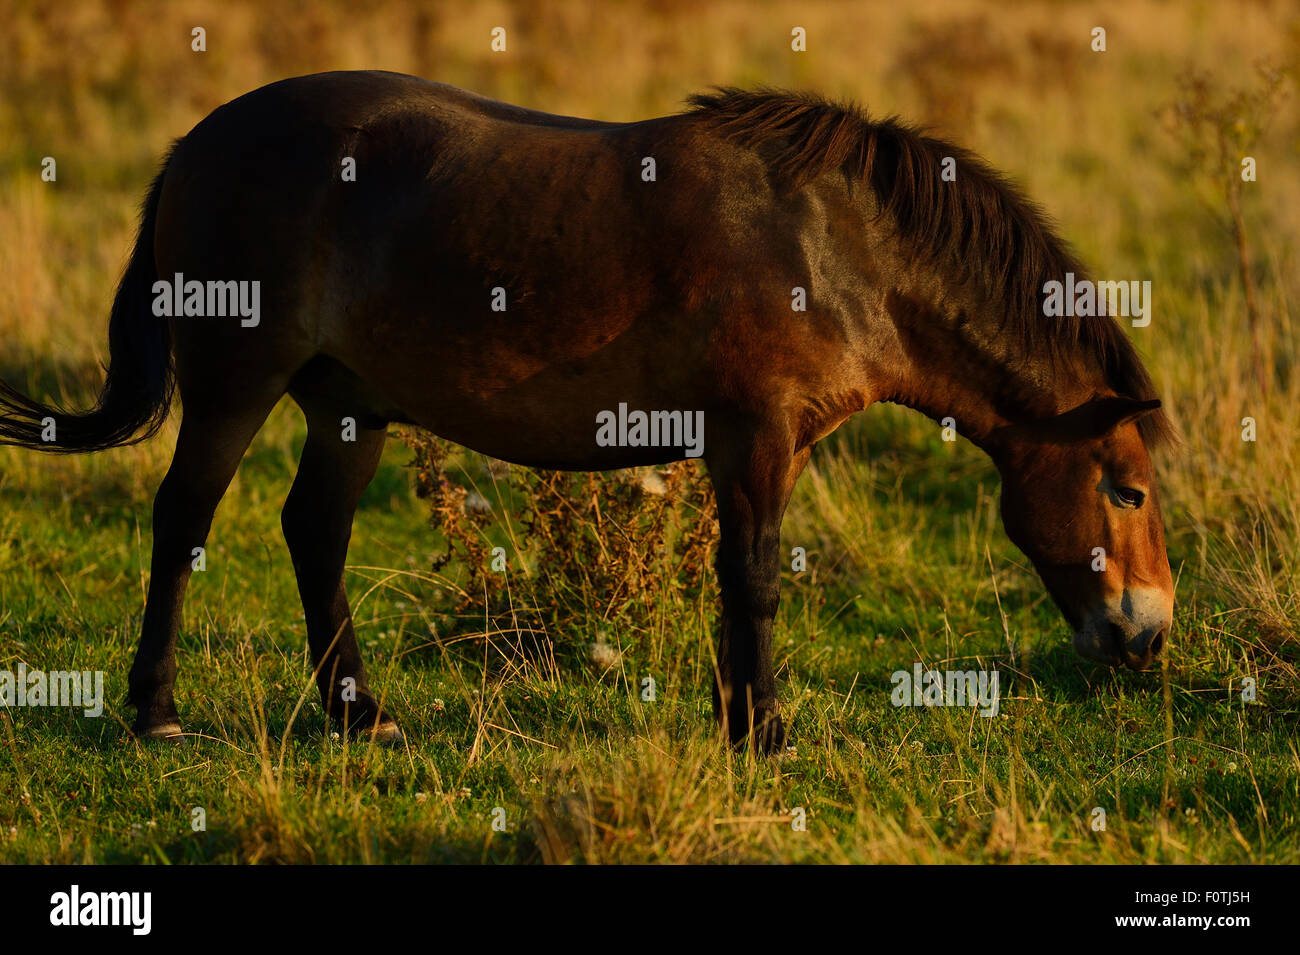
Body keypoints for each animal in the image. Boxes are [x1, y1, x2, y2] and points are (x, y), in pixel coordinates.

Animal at [0, 72, 1176, 752]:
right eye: (1125, 489)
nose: (1147, 635)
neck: (835, 247)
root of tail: (194, 144)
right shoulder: (755, 436)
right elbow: (754, 579)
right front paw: (766, 732)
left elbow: (737, 579)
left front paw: (739, 720)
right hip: (236, 384)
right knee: (184, 520)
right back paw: (155, 709)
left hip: (348, 405)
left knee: (313, 532)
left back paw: (359, 713)